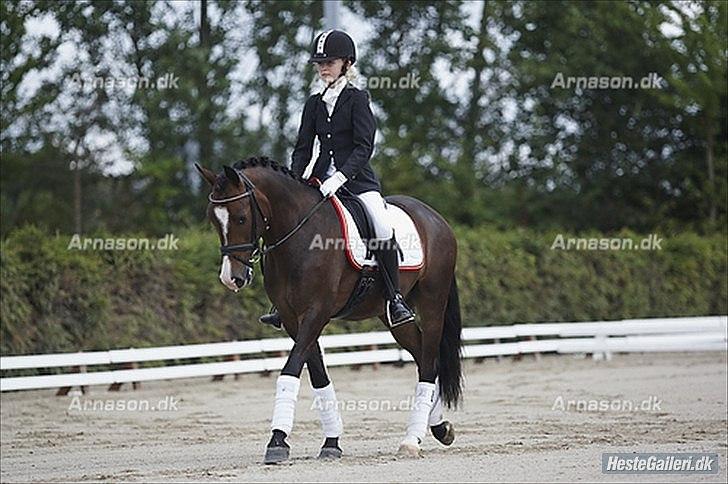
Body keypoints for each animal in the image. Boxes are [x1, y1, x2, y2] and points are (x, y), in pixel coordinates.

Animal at [195, 156, 462, 463]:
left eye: (240, 217)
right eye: (213, 219)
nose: (232, 278)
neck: (299, 234)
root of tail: (436, 218)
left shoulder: (316, 312)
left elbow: (291, 369)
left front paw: (277, 440)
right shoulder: (292, 318)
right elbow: (318, 374)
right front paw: (331, 441)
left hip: (432, 303)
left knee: (429, 362)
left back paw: (411, 441)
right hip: (391, 317)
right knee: (421, 357)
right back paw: (439, 427)